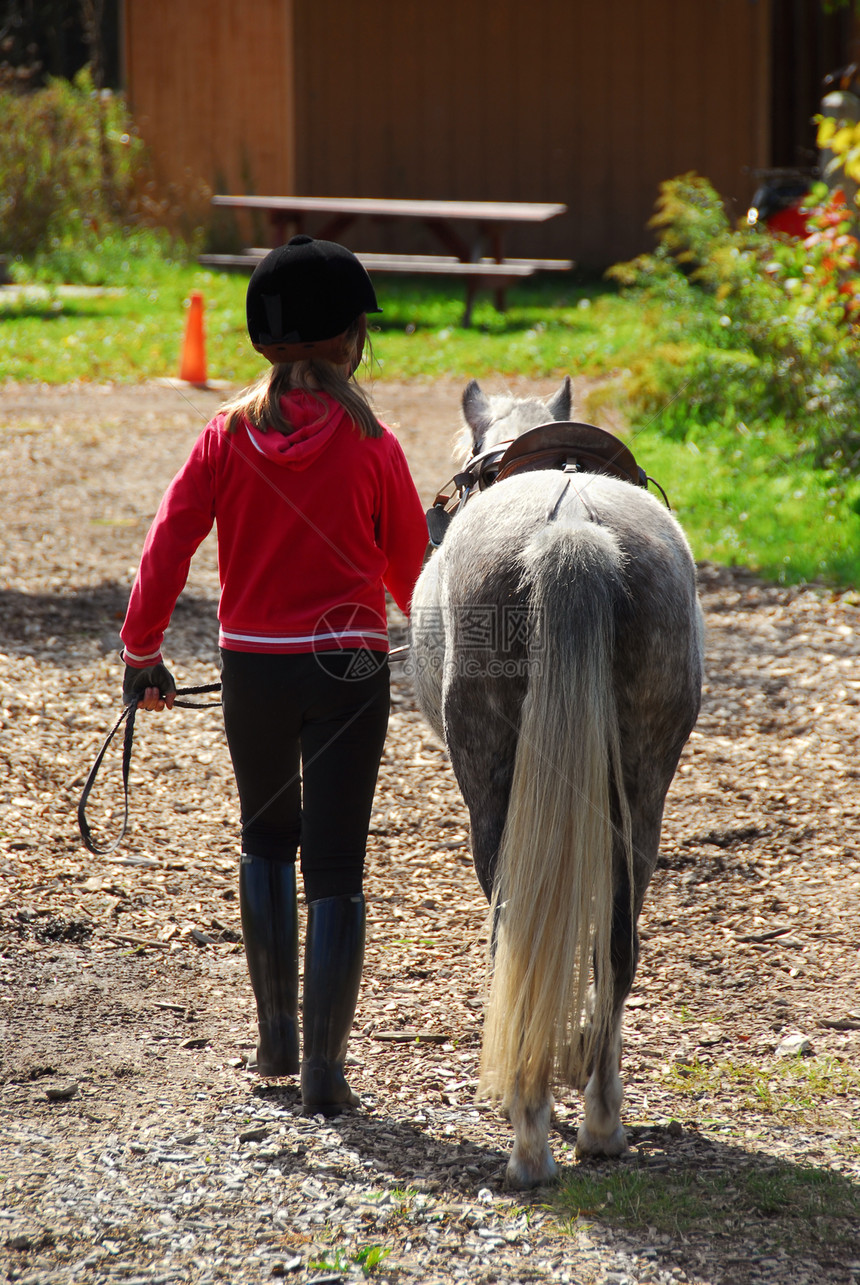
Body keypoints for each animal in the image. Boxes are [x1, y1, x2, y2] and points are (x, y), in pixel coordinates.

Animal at [411, 375, 704, 1187]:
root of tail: (572, 534)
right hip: (643, 788)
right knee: (620, 944)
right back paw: (601, 1124)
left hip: (490, 788)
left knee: (515, 933)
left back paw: (530, 1140)